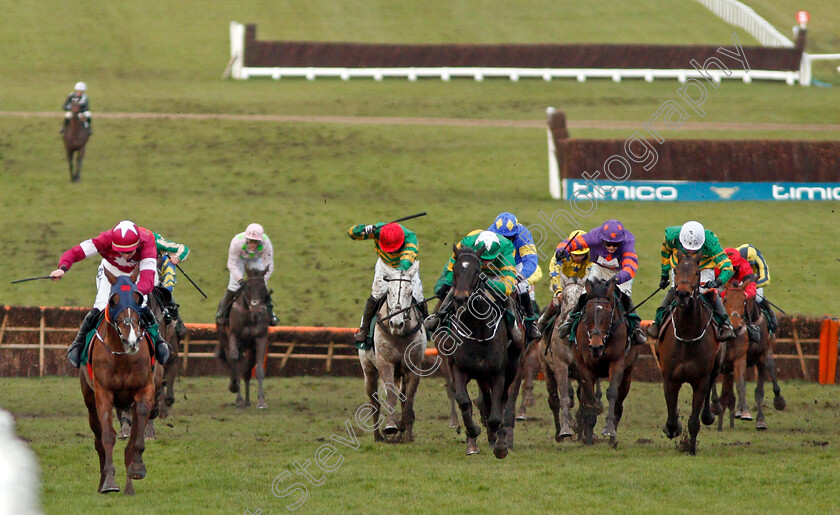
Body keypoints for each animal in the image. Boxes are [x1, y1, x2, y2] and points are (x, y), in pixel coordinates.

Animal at [80, 272, 162, 494]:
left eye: (138, 299)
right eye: (113, 300)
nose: (131, 340)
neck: (122, 356)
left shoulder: (145, 390)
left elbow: (136, 438)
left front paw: (137, 467)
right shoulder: (103, 393)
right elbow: (108, 436)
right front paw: (109, 481)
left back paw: (129, 486)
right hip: (89, 400)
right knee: (98, 439)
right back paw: (103, 482)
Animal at [217, 268, 270, 410]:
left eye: (263, 288)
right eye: (247, 287)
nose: (257, 310)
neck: (249, 316)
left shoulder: (261, 339)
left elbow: (259, 370)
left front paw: (261, 401)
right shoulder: (234, 337)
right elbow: (234, 362)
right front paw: (238, 398)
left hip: (250, 349)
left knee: (246, 372)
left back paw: (247, 401)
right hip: (225, 339)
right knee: (233, 363)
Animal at [442, 246, 520, 460]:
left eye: (476, 272)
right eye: (455, 270)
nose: (460, 298)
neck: (477, 328)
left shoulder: (498, 373)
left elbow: (496, 413)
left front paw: (500, 446)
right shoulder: (459, 368)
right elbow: (463, 401)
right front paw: (473, 431)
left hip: (510, 369)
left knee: (501, 402)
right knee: (483, 400)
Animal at [576, 278, 640, 448]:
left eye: (608, 314)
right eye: (587, 314)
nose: (595, 347)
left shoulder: (617, 363)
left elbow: (612, 393)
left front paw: (609, 429)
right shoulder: (585, 367)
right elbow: (589, 398)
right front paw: (589, 437)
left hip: (627, 374)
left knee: (619, 403)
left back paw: (612, 439)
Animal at [656, 254, 720, 456]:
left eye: (697, 272)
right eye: (676, 270)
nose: (683, 294)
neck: (687, 335)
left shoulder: (700, 380)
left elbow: (694, 420)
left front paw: (691, 449)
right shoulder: (669, 378)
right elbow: (670, 416)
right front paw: (674, 428)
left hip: (716, 365)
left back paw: (708, 415)